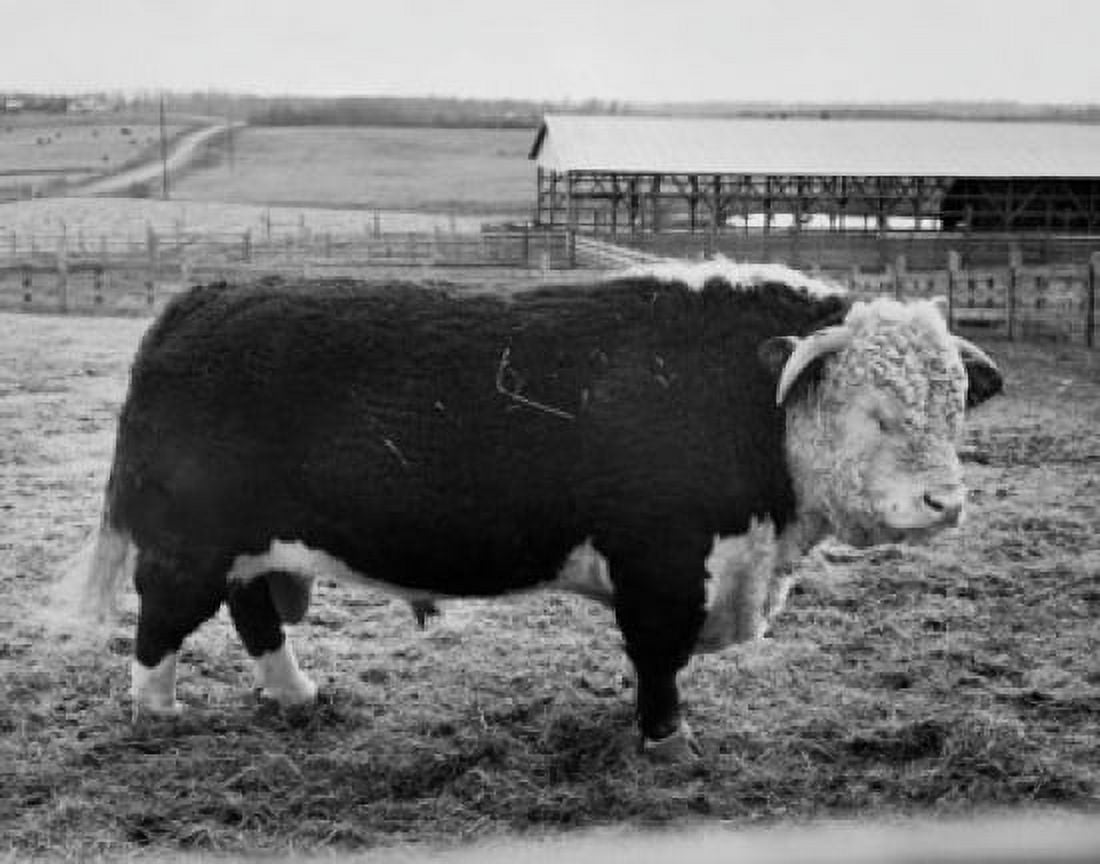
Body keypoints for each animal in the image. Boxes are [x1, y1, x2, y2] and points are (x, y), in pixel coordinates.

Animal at [72, 259, 1002, 759]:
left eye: (955, 407)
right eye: (875, 414)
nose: (945, 501)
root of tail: (204, 295)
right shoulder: (662, 567)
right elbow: (659, 660)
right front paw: (667, 743)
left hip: (252, 544)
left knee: (254, 611)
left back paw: (296, 693)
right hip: (190, 543)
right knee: (162, 620)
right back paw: (157, 713)